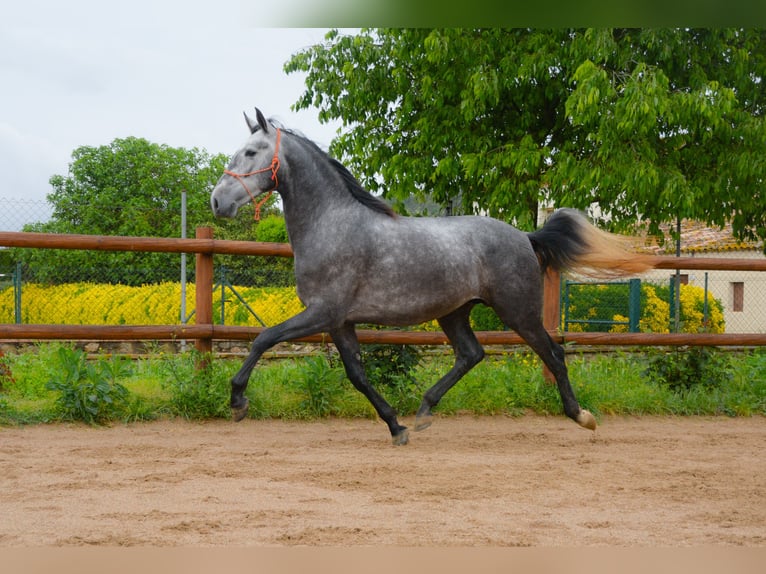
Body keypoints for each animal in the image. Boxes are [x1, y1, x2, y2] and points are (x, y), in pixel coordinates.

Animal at [210, 108, 657, 445]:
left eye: (250, 151)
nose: (217, 201)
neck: (332, 225)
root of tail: (525, 236)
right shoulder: (340, 322)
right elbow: (357, 375)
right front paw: (397, 427)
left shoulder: (322, 313)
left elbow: (264, 339)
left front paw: (238, 403)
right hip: (455, 312)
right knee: (472, 354)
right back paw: (424, 411)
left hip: (517, 311)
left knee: (554, 354)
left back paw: (581, 416)